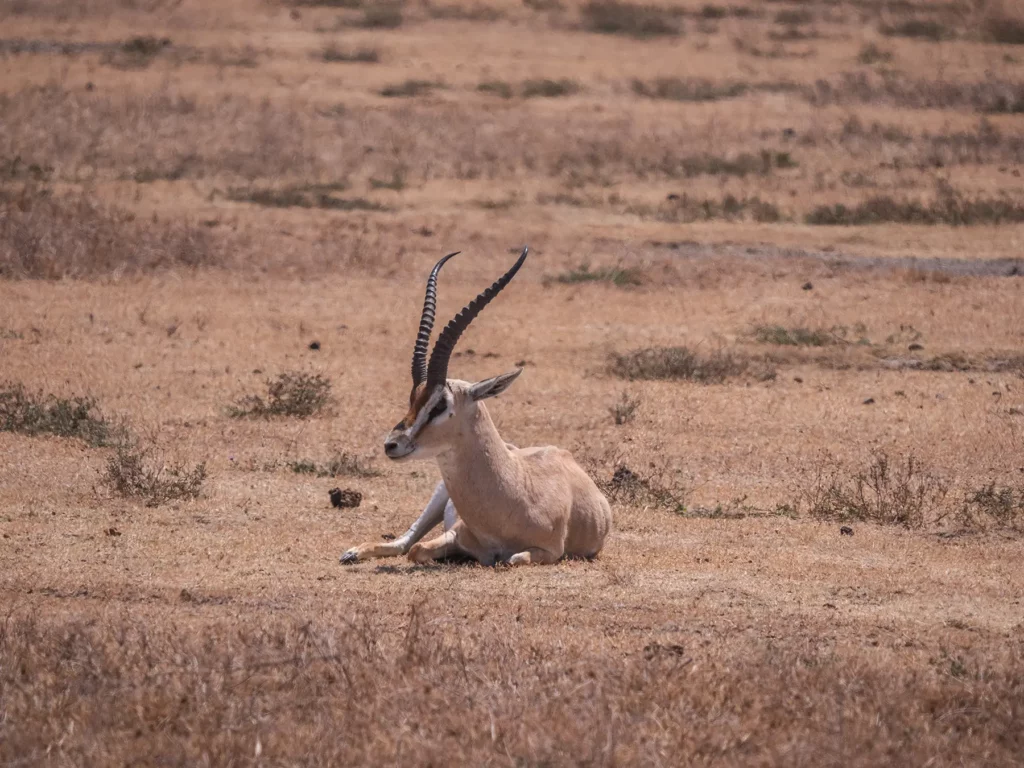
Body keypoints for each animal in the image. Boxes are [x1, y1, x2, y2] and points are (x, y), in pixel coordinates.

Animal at [340, 247, 612, 566]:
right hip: (438, 495)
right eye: (413, 397)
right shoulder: (455, 532)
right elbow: (417, 549)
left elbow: (511, 559)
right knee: (404, 542)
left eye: (440, 405)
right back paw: (351, 552)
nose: (392, 444)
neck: (516, 492)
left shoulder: (551, 551)